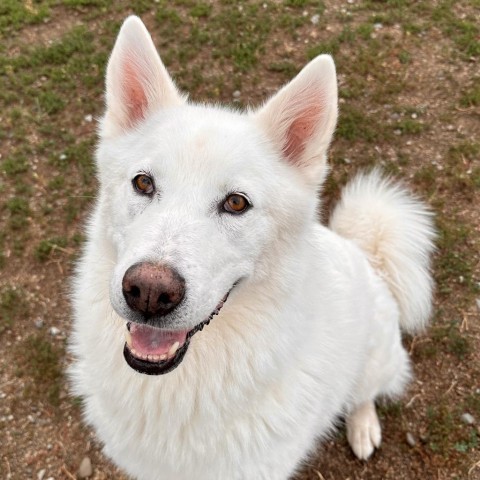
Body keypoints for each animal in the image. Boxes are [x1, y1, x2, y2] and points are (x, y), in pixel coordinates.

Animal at [70, 16, 436, 480]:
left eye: (236, 203)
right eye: (143, 183)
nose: (149, 293)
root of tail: (367, 257)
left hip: (375, 359)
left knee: (364, 395)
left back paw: (363, 426)